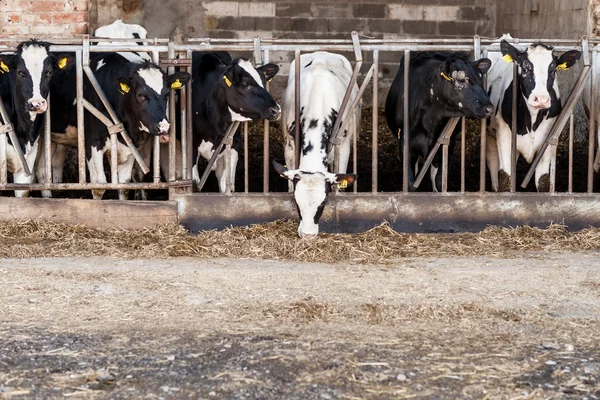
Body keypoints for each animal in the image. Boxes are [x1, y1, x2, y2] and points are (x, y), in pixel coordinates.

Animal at [192, 51, 282, 192]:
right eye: (244, 85)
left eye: (263, 82)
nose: (276, 110)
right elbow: (195, 184)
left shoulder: (234, 143)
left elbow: (226, 186)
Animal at [384, 50, 492, 191]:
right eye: (462, 80)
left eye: (481, 80)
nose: (489, 108)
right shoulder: (405, 142)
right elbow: (409, 182)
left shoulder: (446, 144)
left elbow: (439, 181)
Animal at [488, 36, 580, 191]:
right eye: (525, 69)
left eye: (553, 71)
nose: (541, 99)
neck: (531, 119)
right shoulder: (504, 135)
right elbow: (506, 179)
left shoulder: (548, 139)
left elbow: (543, 181)